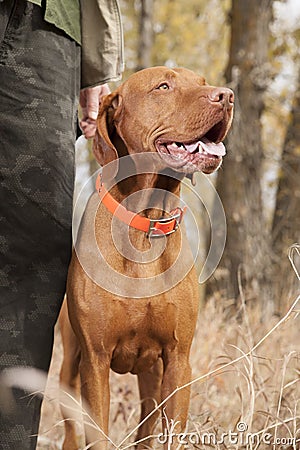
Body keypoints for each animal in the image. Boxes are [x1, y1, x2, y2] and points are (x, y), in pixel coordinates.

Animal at [59, 67, 233, 450]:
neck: (145, 224)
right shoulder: (95, 361)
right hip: (70, 362)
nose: (227, 96)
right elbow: (97, 433)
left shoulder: (178, 361)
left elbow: (170, 432)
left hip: (152, 375)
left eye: (202, 82)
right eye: (163, 86)